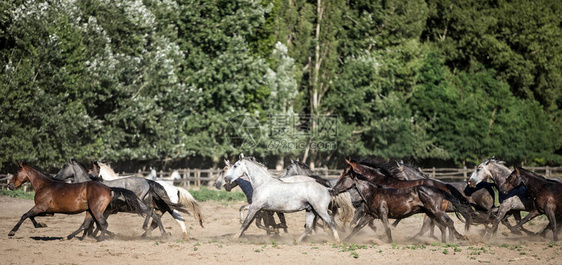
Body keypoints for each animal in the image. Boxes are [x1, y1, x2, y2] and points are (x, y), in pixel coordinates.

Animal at [8, 161, 144, 239]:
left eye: (16, 171)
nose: (9, 186)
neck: (44, 185)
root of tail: (108, 188)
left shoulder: (40, 207)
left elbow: (25, 215)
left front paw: (12, 232)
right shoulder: (47, 211)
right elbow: (31, 216)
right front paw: (41, 225)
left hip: (96, 210)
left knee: (102, 224)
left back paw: (98, 239)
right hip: (90, 210)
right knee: (86, 224)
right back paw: (69, 237)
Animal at [330, 169, 466, 241]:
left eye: (343, 179)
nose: (333, 190)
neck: (373, 193)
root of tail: (440, 189)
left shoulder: (383, 214)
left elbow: (388, 229)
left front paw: (390, 242)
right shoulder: (370, 215)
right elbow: (357, 228)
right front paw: (346, 240)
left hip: (436, 211)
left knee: (449, 222)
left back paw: (455, 240)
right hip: (431, 213)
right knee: (442, 226)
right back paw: (444, 242)